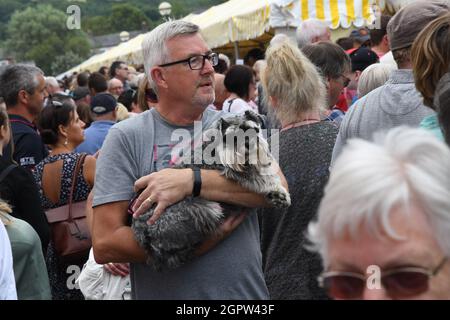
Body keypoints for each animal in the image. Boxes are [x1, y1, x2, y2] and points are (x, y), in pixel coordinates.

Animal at [132, 110, 290, 270]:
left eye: (253, 129)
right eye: (232, 137)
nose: (248, 144)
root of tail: (143, 234)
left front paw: (277, 194)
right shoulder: (235, 173)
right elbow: (260, 178)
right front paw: (279, 193)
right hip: (208, 209)